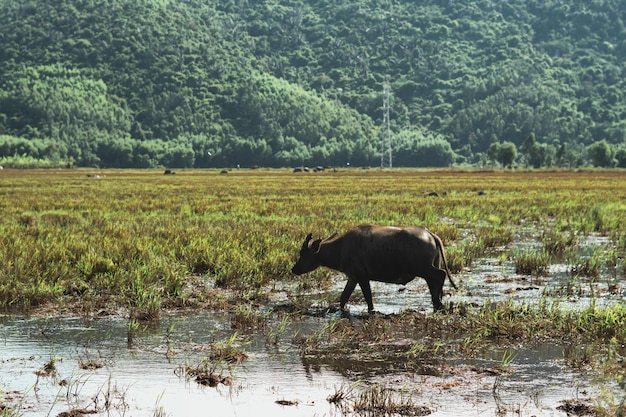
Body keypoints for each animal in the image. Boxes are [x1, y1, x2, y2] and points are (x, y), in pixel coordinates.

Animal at [290, 224, 456, 312]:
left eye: (303, 254)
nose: (294, 269)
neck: (342, 247)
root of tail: (430, 234)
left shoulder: (361, 277)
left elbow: (368, 297)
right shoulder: (353, 277)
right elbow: (343, 298)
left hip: (423, 268)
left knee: (440, 275)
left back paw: (438, 302)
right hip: (430, 267)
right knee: (434, 282)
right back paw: (437, 301)